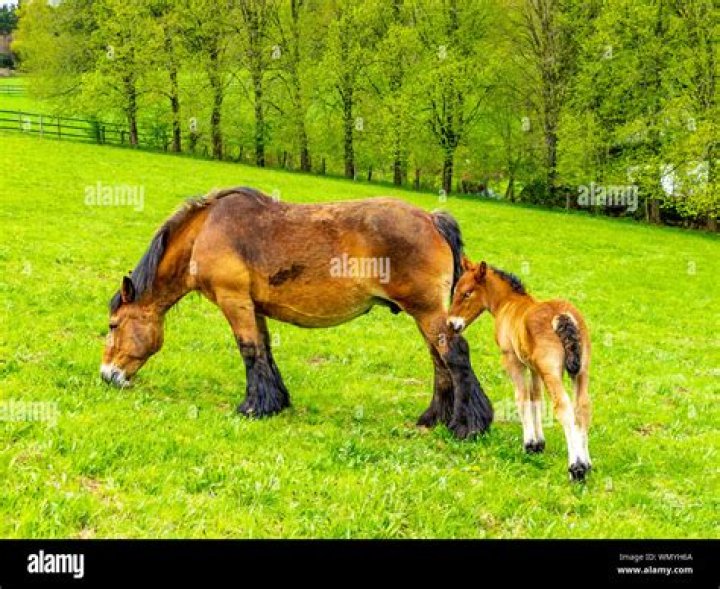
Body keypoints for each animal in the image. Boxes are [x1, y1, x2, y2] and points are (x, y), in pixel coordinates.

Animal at [101, 187, 493, 439]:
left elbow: (249, 350)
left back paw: (467, 425)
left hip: (426, 312)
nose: (107, 375)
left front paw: (252, 407)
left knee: (454, 355)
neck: (206, 230)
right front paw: (274, 401)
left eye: (113, 324)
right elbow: (264, 350)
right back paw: (433, 418)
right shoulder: (253, 306)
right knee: (439, 360)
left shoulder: (234, 300)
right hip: (425, 314)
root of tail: (431, 218)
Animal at [447, 258, 592, 480]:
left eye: (467, 293)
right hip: (581, 370)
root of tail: (563, 315)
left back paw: (577, 468)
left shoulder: (513, 361)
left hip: (552, 371)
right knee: (583, 406)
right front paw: (539, 443)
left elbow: (521, 397)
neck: (508, 304)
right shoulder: (534, 368)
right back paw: (587, 463)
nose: (451, 324)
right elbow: (535, 398)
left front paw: (529, 444)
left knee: (564, 406)